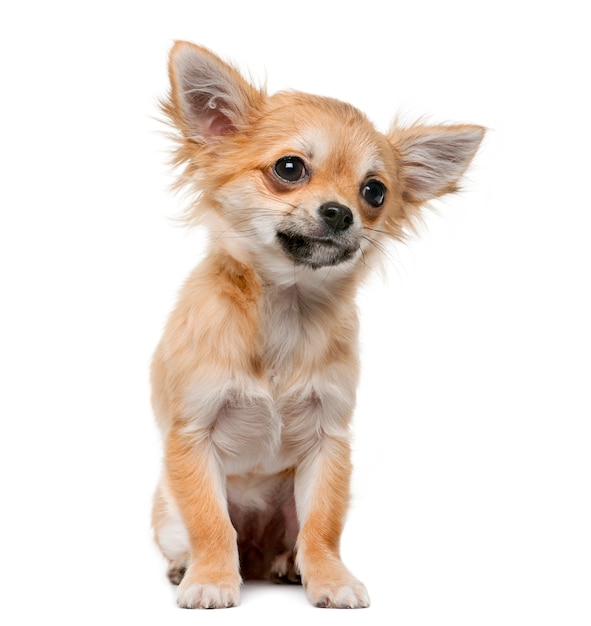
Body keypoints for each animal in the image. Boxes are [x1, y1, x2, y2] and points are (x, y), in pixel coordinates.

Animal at [149, 41, 486, 608]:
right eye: (290, 168)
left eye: (375, 192)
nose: (341, 212)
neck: (287, 308)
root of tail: (257, 555)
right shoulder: (192, 435)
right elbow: (212, 523)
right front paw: (211, 579)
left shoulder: (330, 441)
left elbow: (322, 527)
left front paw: (329, 580)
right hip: (167, 510)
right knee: (206, 532)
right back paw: (187, 566)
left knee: (297, 536)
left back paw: (289, 565)